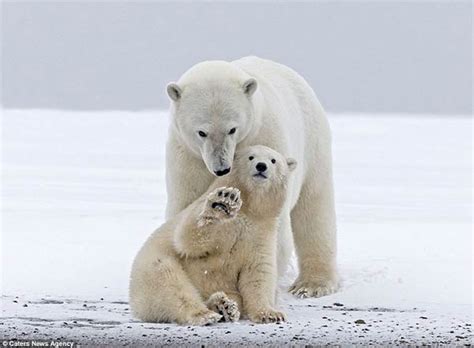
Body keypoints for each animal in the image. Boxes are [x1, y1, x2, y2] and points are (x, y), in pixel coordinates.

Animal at [165, 56, 338, 296]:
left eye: (232, 129)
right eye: (202, 132)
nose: (221, 169)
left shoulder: (266, 138)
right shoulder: (188, 158)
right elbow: (186, 210)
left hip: (313, 144)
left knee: (314, 209)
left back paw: (312, 284)